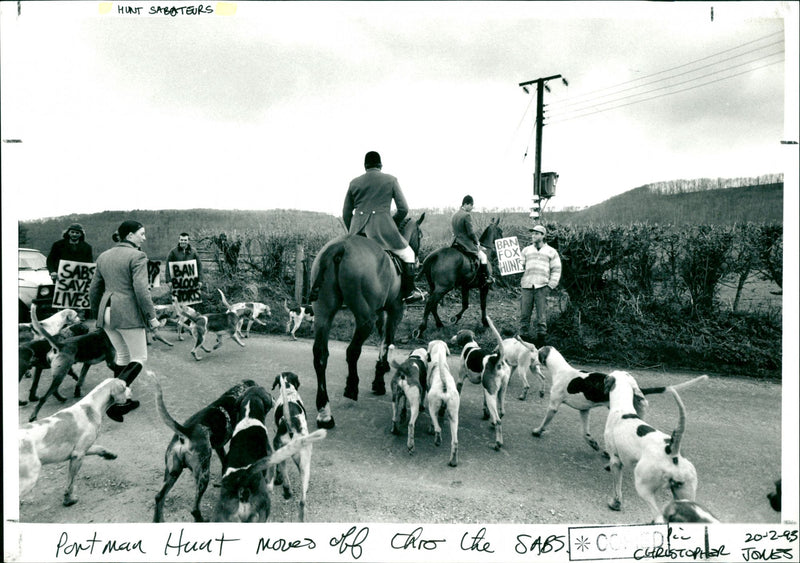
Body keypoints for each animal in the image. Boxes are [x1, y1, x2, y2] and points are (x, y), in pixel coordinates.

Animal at [18, 378, 130, 506]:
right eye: (125, 386)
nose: (131, 390)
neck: (90, 407)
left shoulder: (81, 449)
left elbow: (100, 448)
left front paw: (110, 455)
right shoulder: (78, 455)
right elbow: (70, 483)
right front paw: (69, 499)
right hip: (30, 478)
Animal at [310, 214, 428, 430]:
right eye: (420, 235)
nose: (418, 262)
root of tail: (339, 246)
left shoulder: (380, 311)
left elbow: (382, 338)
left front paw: (381, 369)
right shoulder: (396, 310)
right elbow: (387, 341)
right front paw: (379, 379)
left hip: (323, 313)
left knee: (320, 355)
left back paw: (324, 413)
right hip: (365, 319)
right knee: (352, 351)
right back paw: (351, 387)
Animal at [604, 370, 708, 524]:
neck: (622, 409)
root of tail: (673, 453)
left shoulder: (616, 460)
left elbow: (617, 488)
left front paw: (615, 504)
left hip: (643, 487)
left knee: (658, 516)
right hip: (685, 494)